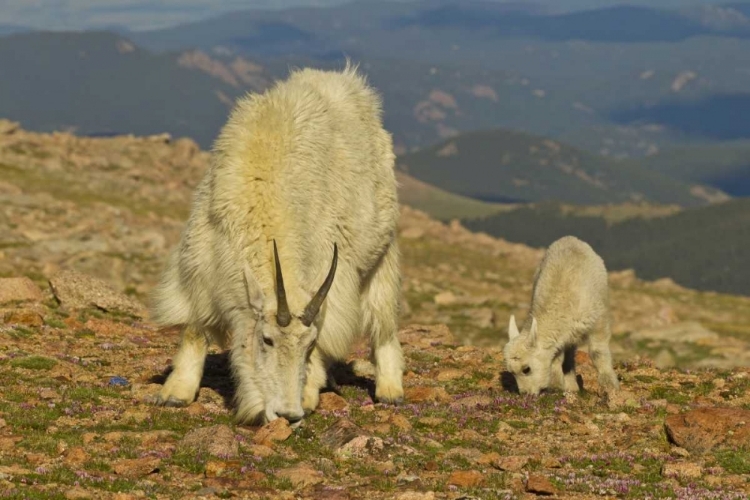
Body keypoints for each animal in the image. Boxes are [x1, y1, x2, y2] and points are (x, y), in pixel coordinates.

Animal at [148, 64, 406, 424]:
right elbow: (195, 330)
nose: (288, 414)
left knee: (383, 318)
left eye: (307, 346)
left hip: (382, 249)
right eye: (266, 340)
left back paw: (390, 389)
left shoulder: (330, 278)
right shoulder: (199, 268)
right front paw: (176, 393)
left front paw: (308, 393)